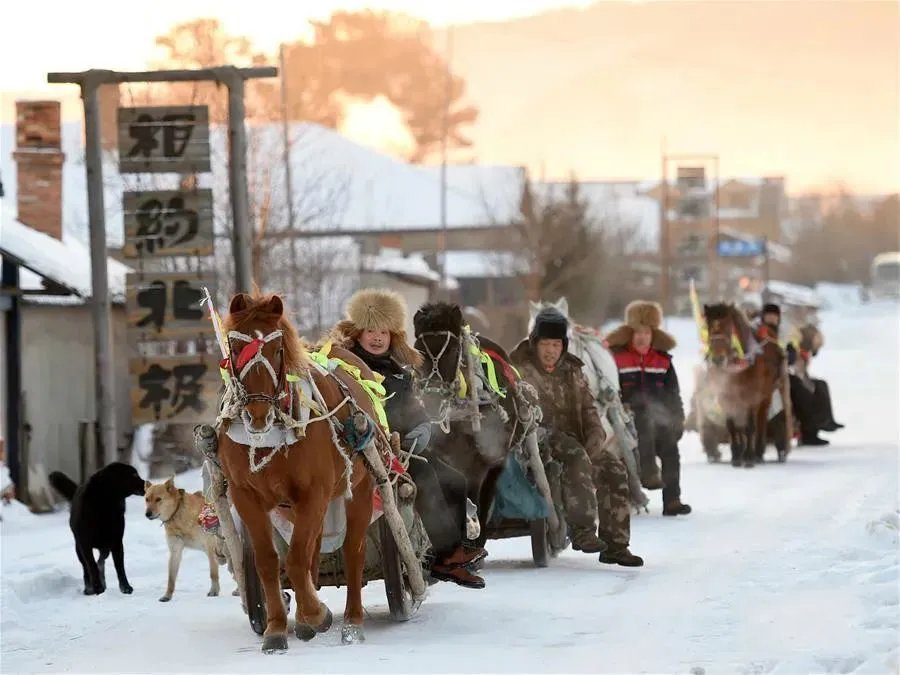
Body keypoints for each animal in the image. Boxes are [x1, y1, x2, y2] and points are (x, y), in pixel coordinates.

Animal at [49, 464, 146, 596]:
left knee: (101, 561)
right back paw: (90, 588)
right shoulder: (84, 544)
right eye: (134, 475)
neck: (105, 504)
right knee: (87, 567)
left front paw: (125, 587)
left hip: (105, 546)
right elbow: (91, 566)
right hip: (79, 549)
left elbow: (119, 567)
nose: (149, 484)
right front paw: (97, 588)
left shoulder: (117, 542)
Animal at [218, 294, 386, 652]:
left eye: (277, 349)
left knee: (352, 551)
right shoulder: (245, 495)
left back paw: (352, 621)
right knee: (312, 548)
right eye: (236, 349)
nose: (257, 413)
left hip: (360, 488)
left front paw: (317, 614)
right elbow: (269, 562)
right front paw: (276, 628)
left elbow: (295, 560)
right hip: (295, 506)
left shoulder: (315, 492)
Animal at [414, 304, 520, 552]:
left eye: (454, 351)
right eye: (418, 351)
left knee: (487, 493)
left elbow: (473, 494)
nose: (432, 399)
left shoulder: (480, 463)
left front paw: (471, 543)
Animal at [704, 304, 788, 468]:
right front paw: (736, 455)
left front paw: (749, 457)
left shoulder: (752, 396)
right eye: (709, 328)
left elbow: (750, 426)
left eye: (728, 327)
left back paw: (758, 452)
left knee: (761, 420)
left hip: (767, 394)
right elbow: (732, 426)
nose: (717, 359)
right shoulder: (726, 397)